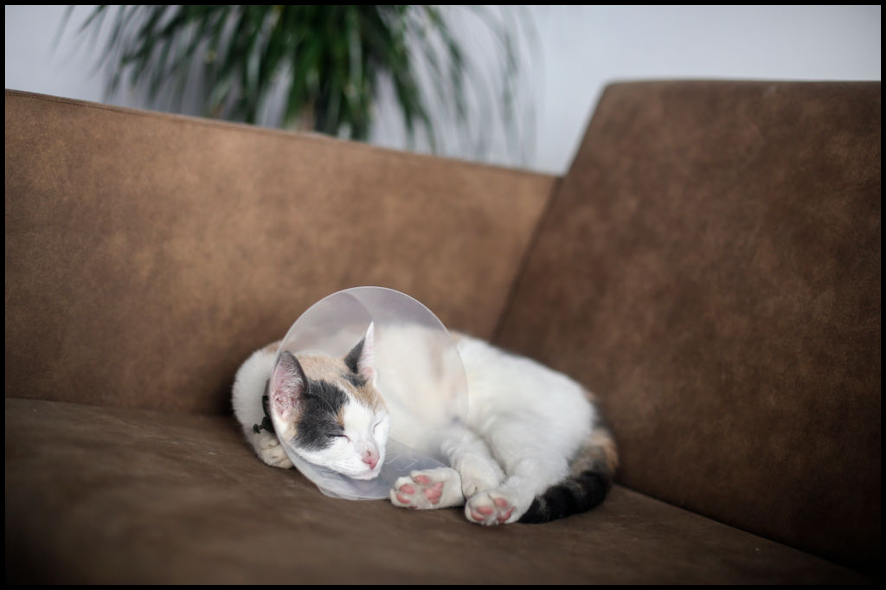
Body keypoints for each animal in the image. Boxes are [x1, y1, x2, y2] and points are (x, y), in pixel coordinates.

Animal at [232, 323, 617, 525]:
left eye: (377, 425)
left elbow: (472, 455)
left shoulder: (435, 430)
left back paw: (499, 500)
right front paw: (273, 449)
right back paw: (427, 491)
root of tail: (587, 399)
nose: (372, 455)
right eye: (337, 434)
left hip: (510, 424)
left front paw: (480, 480)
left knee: (541, 468)